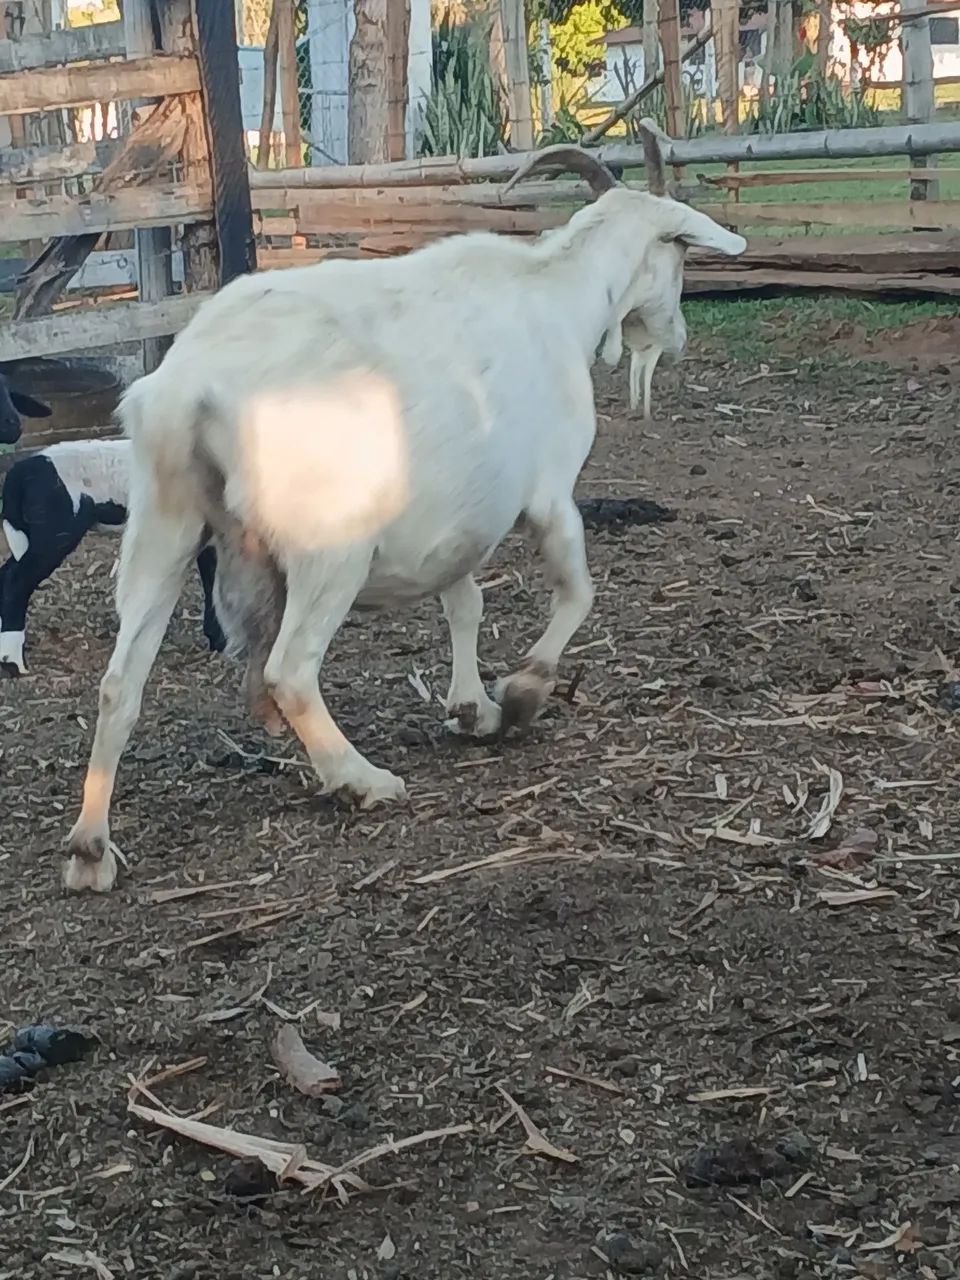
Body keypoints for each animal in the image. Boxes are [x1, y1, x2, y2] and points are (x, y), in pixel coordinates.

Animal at [0, 439, 225, 674]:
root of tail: (21, 470)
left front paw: (218, 642)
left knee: (7, 572)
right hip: (54, 534)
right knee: (16, 581)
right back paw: (13, 662)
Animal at [63, 126, 746, 892]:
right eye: (680, 251)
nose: (678, 340)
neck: (557, 295)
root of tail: (187, 389)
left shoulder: (458, 511)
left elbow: (465, 602)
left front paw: (471, 708)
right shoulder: (549, 493)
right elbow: (576, 593)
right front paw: (522, 692)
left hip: (163, 524)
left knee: (121, 682)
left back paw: (90, 848)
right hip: (330, 548)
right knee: (289, 669)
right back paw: (360, 780)